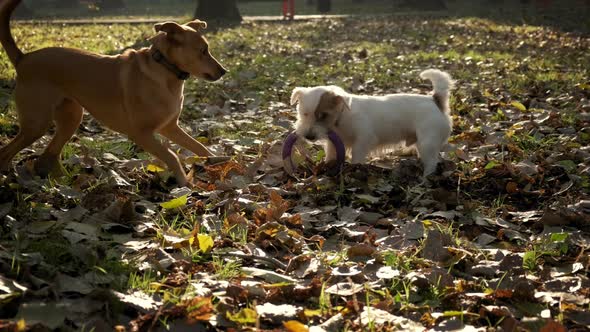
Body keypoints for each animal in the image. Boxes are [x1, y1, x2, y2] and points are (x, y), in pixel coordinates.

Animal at [0, 0, 227, 187]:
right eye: (203, 51)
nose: (224, 71)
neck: (164, 68)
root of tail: (24, 59)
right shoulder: (141, 133)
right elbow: (171, 155)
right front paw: (185, 183)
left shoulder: (170, 128)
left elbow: (199, 147)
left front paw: (218, 162)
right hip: (37, 123)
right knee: (7, 152)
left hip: (70, 118)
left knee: (46, 156)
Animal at [294, 69, 456, 176]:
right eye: (304, 113)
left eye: (323, 115)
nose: (308, 136)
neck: (343, 116)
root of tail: (435, 100)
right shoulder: (334, 143)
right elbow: (331, 155)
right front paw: (327, 166)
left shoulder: (363, 140)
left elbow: (357, 157)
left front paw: (354, 169)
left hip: (427, 142)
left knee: (432, 162)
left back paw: (425, 178)